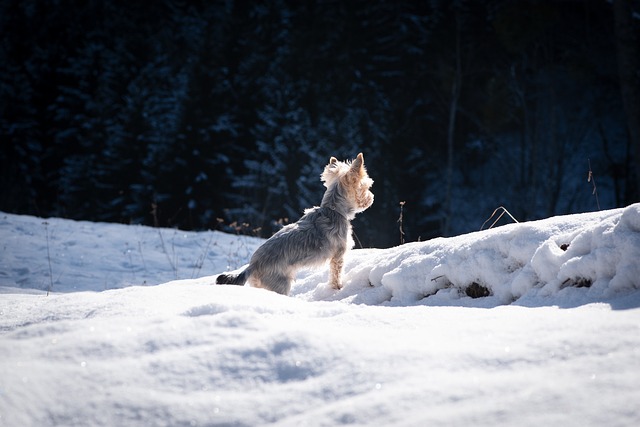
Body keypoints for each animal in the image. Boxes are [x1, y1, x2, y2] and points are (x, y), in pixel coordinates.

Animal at [216, 152, 372, 296]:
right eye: (365, 187)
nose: (371, 198)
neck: (333, 209)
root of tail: (252, 266)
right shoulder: (338, 257)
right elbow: (336, 275)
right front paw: (338, 288)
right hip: (281, 283)